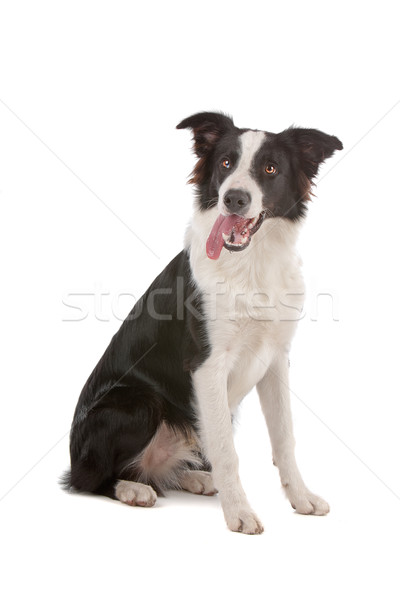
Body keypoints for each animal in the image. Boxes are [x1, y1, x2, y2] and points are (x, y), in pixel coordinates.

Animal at [61, 112, 340, 536]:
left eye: (270, 169)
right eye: (225, 163)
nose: (234, 198)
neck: (250, 266)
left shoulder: (276, 360)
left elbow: (284, 439)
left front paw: (301, 497)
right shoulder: (207, 365)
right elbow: (226, 451)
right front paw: (239, 511)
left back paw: (192, 478)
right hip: (139, 401)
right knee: (89, 479)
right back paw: (131, 489)